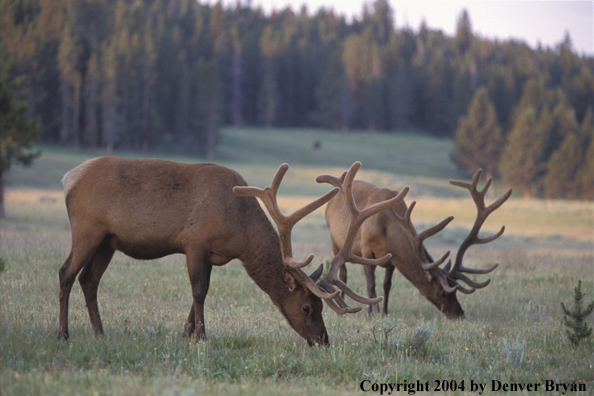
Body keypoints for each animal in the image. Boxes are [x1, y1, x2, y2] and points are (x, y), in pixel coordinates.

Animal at [56, 158, 408, 346]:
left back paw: (100, 333)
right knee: (66, 273)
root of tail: (69, 178)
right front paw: (201, 337)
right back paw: (64, 334)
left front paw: (186, 332)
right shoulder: (194, 242)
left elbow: (202, 292)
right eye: (307, 306)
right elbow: (198, 291)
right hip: (86, 230)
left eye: (321, 307)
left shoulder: (212, 254)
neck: (239, 230)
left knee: (89, 281)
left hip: (107, 241)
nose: (323, 340)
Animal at [322, 169, 512, 318]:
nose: (460, 314)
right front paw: (370, 312)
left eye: (456, 289)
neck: (387, 228)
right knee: (343, 273)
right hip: (334, 240)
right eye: (442, 292)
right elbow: (371, 283)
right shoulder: (366, 249)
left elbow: (386, 285)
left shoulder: (391, 259)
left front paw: (384, 312)